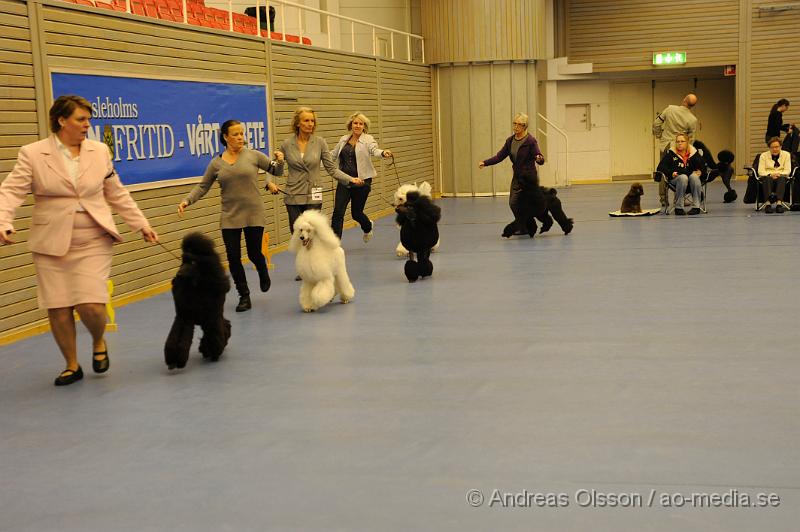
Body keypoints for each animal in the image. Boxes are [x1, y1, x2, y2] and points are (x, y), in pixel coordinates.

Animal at [165, 233, 231, 370]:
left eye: (193, 262)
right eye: (182, 261)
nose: (178, 275)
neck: (197, 285)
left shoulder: (211, 317)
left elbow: (213, 335)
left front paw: (214, 353)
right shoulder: (184, 317)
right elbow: (177, 338)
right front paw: (174, 360)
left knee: (223, 326)